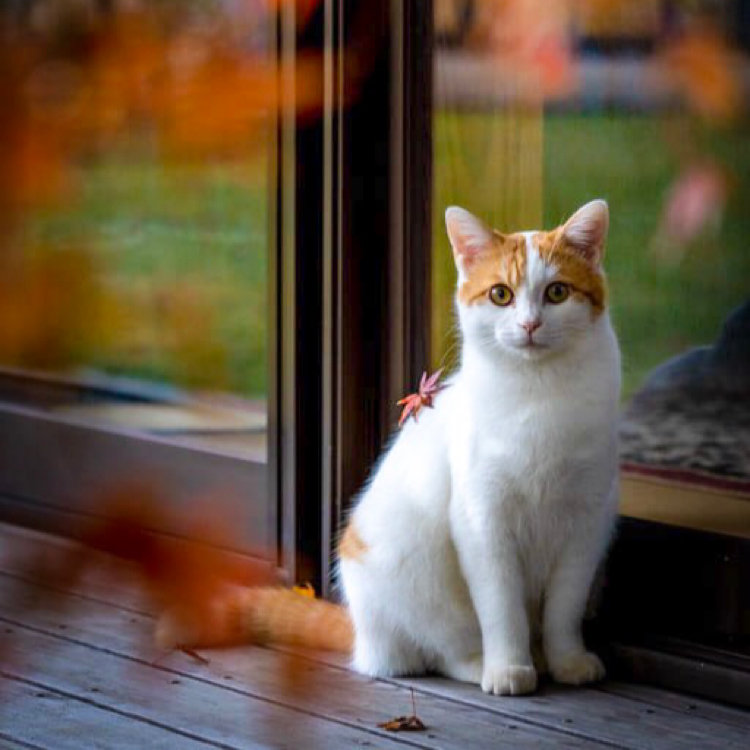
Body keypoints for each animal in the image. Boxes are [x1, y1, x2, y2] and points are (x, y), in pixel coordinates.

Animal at [156, 198, 620, 700]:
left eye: (557, 293)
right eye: (501, 295)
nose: (529, 324)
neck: (538, 394)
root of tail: (361, 631)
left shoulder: (586, 524)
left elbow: (564, 610)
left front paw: (568, 659)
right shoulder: (483, 522)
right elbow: (502, 609)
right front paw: (508, 667)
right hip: (414, 573)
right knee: (437, 652)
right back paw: (483, 663)